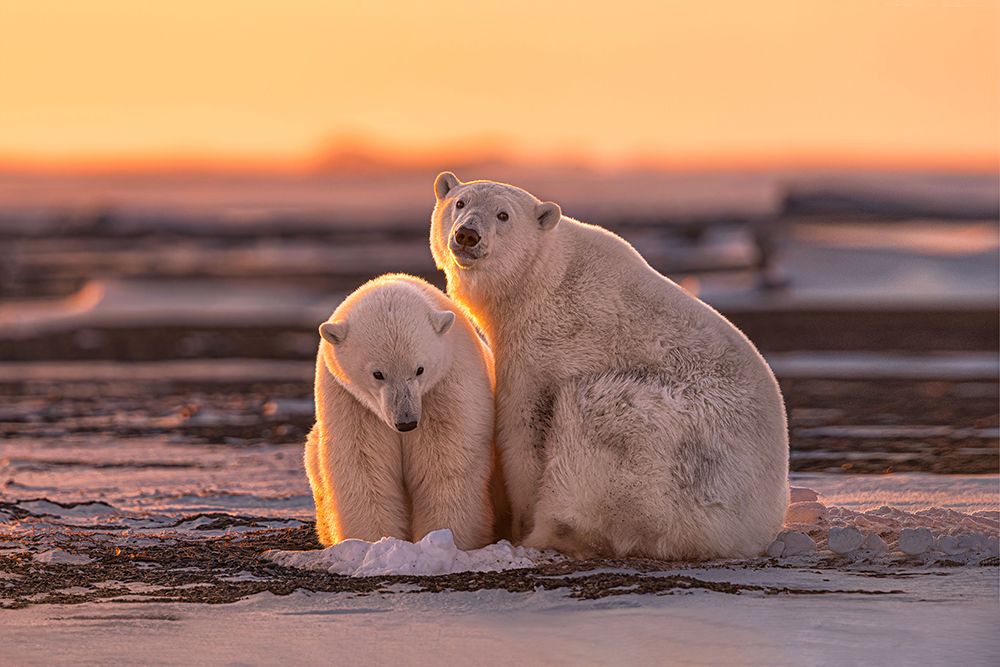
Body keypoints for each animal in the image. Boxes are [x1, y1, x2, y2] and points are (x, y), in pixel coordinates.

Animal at [304, 273, 497, 550]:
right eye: (378, 373)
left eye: (419, 369)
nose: (406, 422)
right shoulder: (351, 401)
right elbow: (363, 464)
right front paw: (375, 542)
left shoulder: (446, 388)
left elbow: (447, 460)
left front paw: (448, 539)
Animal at [429, 172, 789, 560]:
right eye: (460, 202)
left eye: (503, 215)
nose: (468, 234)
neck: (541, 281)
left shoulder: (548, 346)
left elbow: (523, 429)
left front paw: (518, 525)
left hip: (679, 452)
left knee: (598, 414)